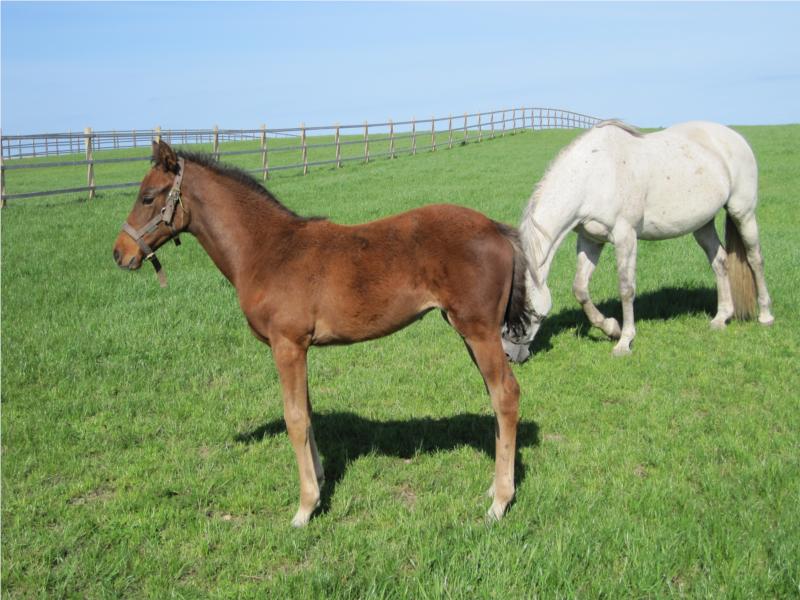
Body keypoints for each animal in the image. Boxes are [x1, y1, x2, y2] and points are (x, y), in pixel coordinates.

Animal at [111, 142, 524, 524]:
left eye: (148, 196)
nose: (120, 253)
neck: (268, 250)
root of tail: (496, 229)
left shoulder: (287, 345)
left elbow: (294, 418)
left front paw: (305, 508)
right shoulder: (300, 347)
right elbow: (307, 413)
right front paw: (321, 482)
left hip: (478, 331)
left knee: (505, 395)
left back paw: (500, 502)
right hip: (469, 332)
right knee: (495, 396)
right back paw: (494, 486)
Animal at [506, 118, 776, 360]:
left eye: (529, 311)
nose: (511, 356)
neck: (595, 173)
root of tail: (734, 137)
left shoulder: (625, 235)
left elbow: (626, 289)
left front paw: (624, 342)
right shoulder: (590, 240)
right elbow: (580, 289)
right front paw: (611, 328)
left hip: (743, 212)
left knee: (755, 259)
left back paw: (765, 315)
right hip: (703, 224)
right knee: (720, 261)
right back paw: (721, 317)